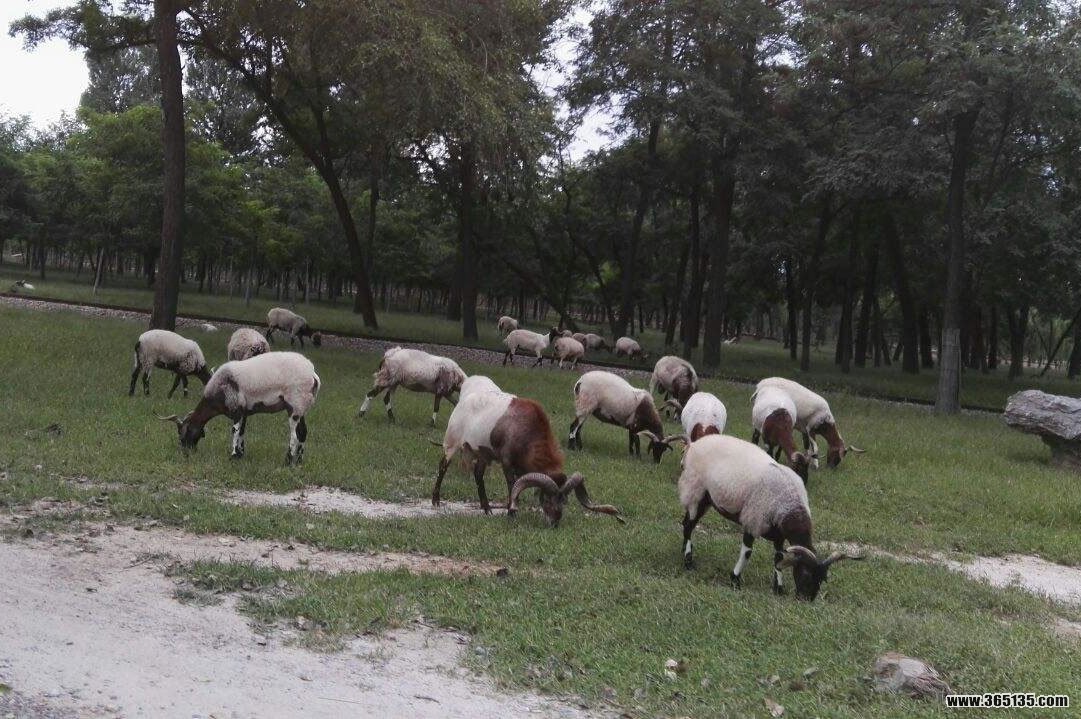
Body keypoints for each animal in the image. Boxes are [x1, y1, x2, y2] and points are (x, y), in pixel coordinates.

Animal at [157, 352, 320, 465]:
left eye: (182, 434)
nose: (186, 453)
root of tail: (313, 375)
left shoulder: (236, 408)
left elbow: (234, 431)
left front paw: (233, 455)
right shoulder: (244, 411)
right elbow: (242, 431)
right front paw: (241, 454)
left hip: (295, 404)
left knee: (295, 435)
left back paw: (288, 461)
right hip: (301, 407)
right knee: (303, 432)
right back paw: (299, 461)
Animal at [433, 387, 623, 527]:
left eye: (565, 501)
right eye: (547, 499)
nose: (555, 522)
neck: (526, 430)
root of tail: (463, 401)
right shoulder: (507, 462)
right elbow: (512, 486)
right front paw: (511, 514)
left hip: (483, 453)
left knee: (478, 474)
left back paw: (487, 509)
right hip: (451, 443)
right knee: (442, 466)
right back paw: (436, 501)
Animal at [678, 434, 861, 600]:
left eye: (821, 579)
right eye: (806, 574)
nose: (806, 599)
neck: (789, 504)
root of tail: (693, 444)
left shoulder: (779, 535)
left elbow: (778, 558)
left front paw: (778, 589)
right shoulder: (753, 520)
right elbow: (747, 553)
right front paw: (735, 580)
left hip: (707, 499)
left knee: (687, 523)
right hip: (696, 491)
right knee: (688, 525)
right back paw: (688, 561)